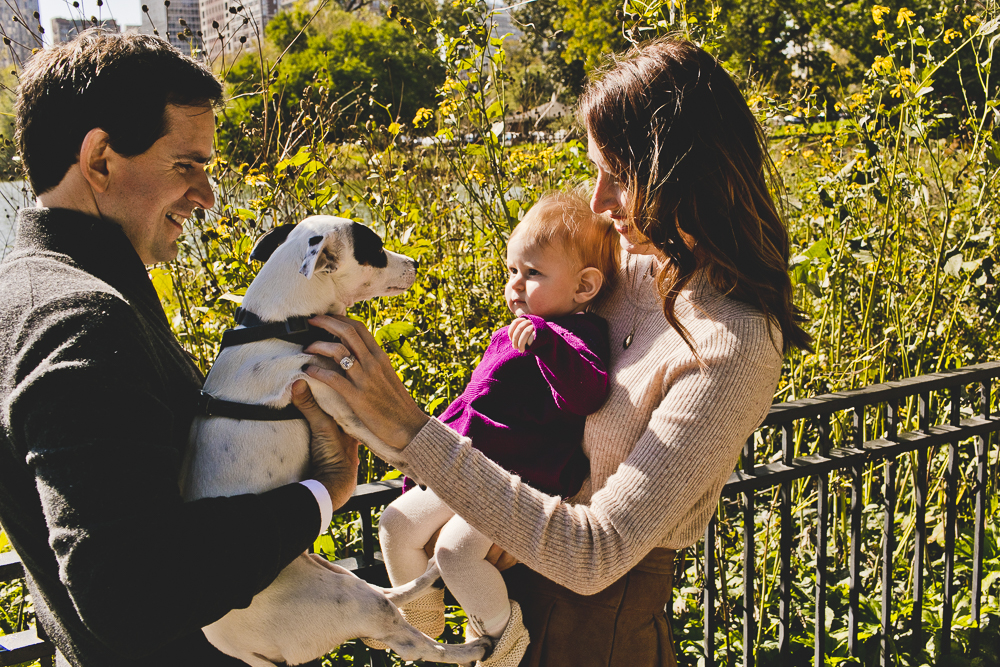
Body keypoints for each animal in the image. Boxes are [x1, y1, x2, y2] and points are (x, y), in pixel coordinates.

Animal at [182, 218, 494, 667]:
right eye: (376, 250)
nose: (415, 263)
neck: (283, 325)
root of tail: (234, 646)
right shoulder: (337, 399)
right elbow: (387, 443)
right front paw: (420, 466)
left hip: (336, 575)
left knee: (388, 593)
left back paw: (432, 576)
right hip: (348, 601)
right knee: (409, 639)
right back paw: (470, 648)